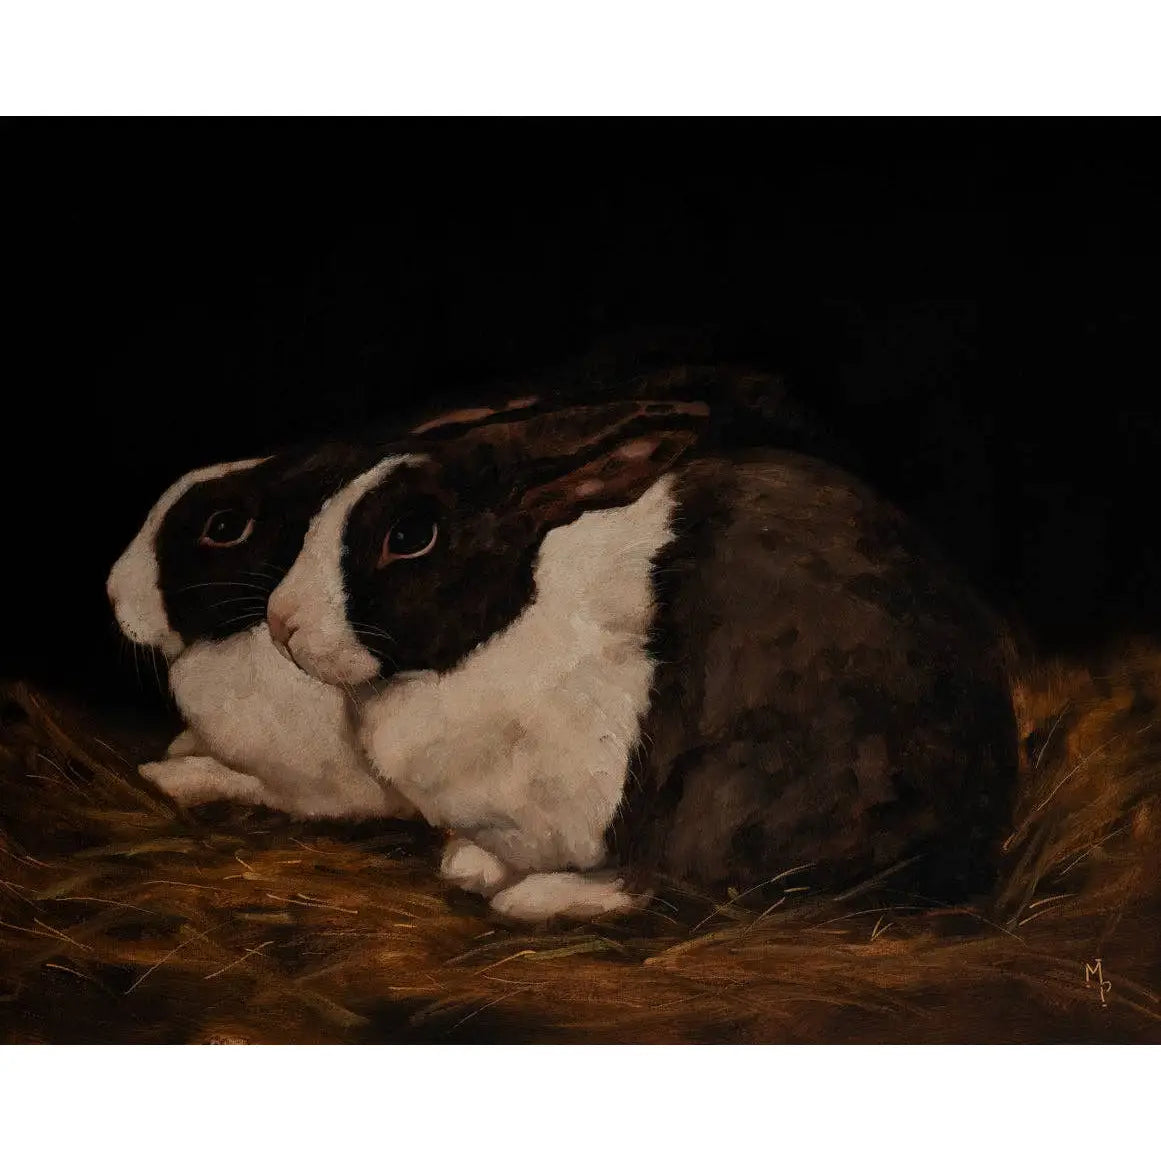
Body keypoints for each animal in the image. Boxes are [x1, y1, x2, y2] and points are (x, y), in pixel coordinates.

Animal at [264, 398, 1019, 922]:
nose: (280, 622)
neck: (513, 621)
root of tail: (981, 826)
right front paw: (472, 862)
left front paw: (506, 883)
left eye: (411, 536)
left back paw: (540, 898)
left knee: (692, 884)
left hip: (742, 788)